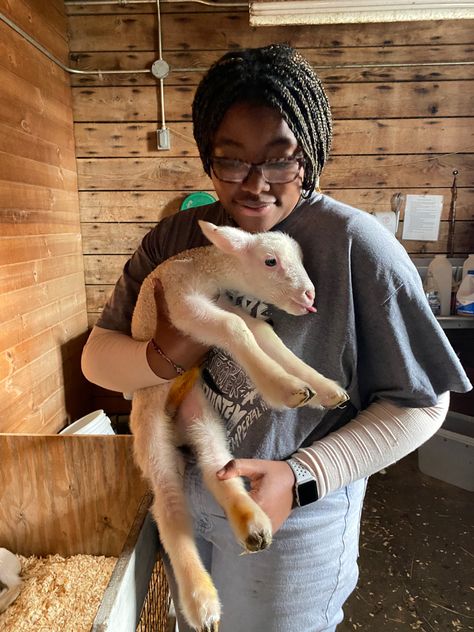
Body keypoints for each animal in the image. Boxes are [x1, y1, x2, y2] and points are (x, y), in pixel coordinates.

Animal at [130, 220, 348, 628]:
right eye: (270, 261)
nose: (310, 294)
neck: (204, 271)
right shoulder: (184, 306)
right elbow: (237, 328)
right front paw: (284, 387)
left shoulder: (221, 302)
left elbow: (263, 332)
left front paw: (319, 388)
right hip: (148, 424)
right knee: (167, 501)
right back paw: (202, 602)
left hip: (198, 412)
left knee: (216, 465)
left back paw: (251, 524)